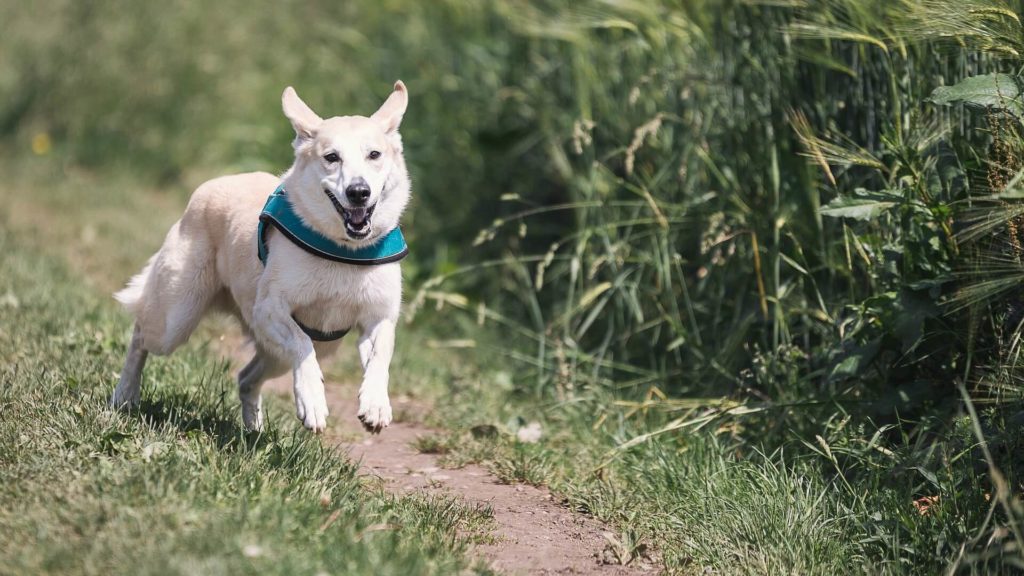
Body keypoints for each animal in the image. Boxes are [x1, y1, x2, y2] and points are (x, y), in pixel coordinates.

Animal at [112, 79, 411, 430]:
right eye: (331, 157)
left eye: (374, 154)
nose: (359, 192)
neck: (343, 251)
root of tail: (211, 185)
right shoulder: (269, 309)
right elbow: (301, 344)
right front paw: (312, 401)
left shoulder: (379, 317)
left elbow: (380, 356)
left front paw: (376, 404)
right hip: (175, 318)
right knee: (141, 334)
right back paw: (125, 395)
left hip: (289, 351)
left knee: (246, 377)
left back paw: (253, 429)